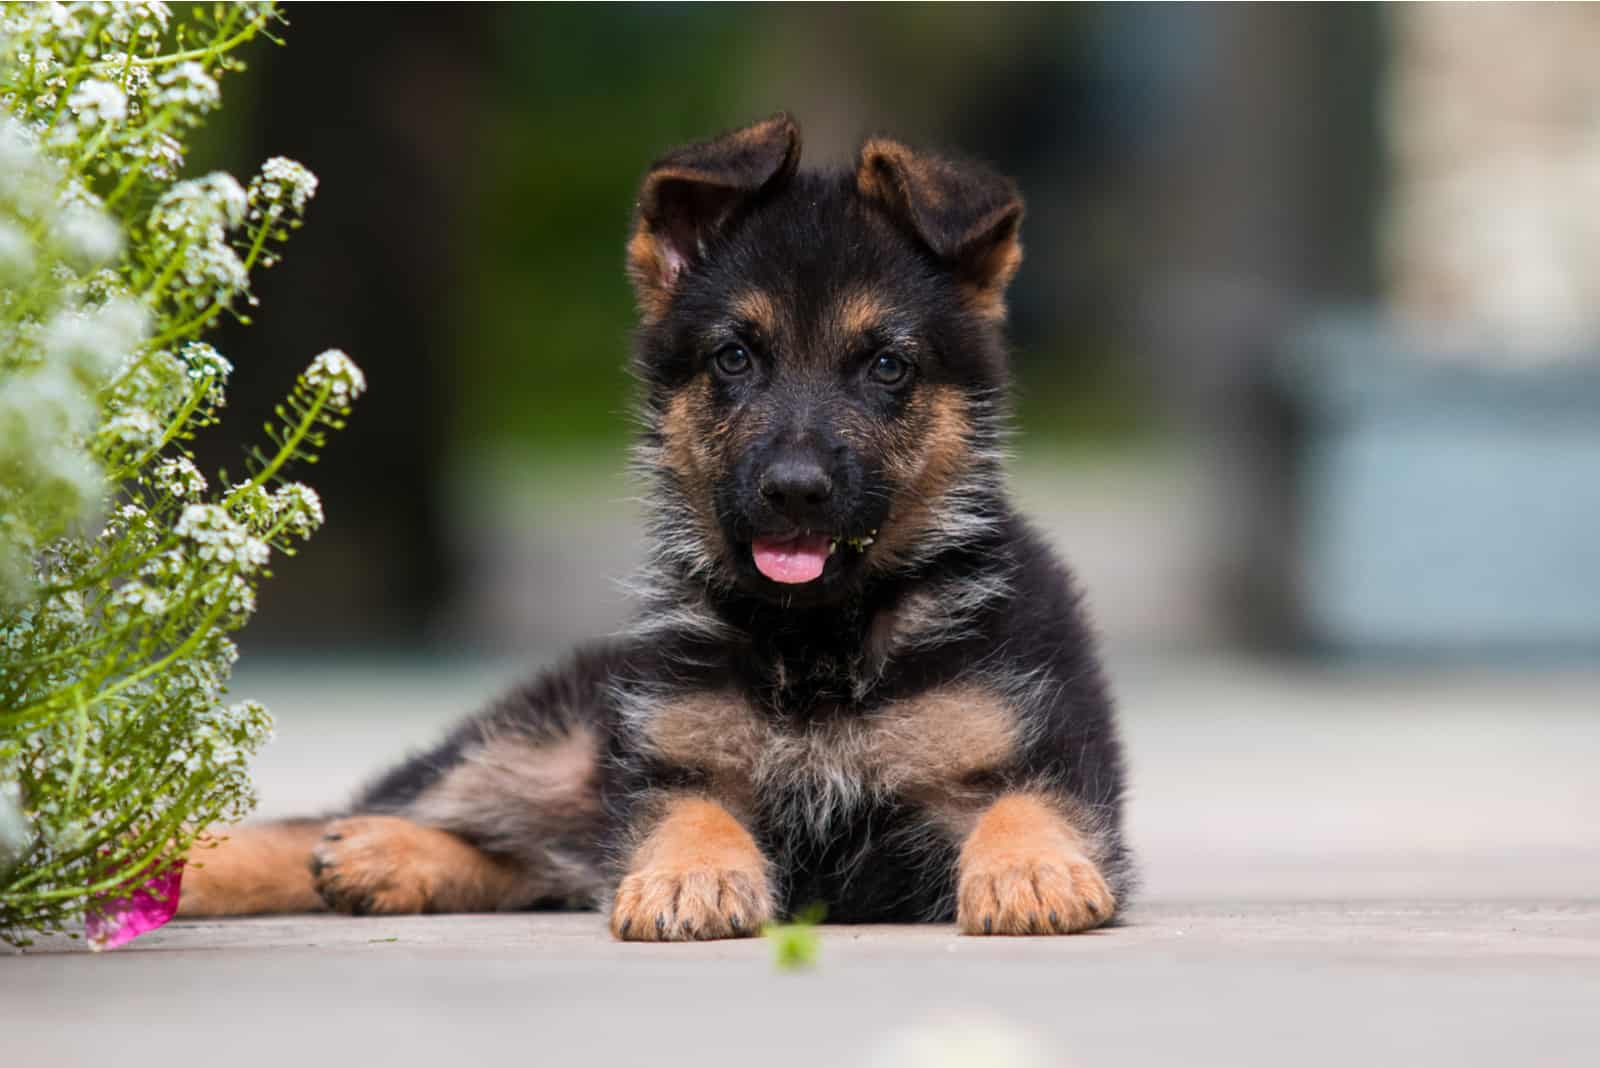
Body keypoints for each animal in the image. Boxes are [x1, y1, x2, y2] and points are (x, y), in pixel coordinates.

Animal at [181, 112, 1132, 940]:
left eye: (889, 366)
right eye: (734, 358)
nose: (794, 491)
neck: (818, 642)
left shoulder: (1045, 746)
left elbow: (1028, 802)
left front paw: (1032, 870)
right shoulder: (669, 755)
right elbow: (688, 813)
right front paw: (690, 874)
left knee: (535, 860)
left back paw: (384, 862)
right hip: (552, 740)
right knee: (362, 817)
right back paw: (196, 865)